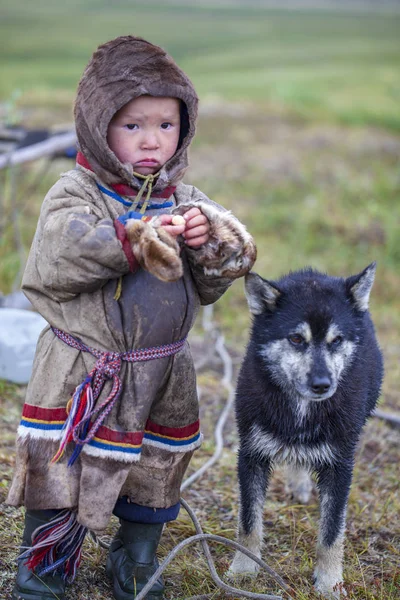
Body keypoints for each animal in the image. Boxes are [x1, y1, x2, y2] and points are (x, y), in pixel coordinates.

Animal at [230, 264, 382, 596]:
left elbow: (331, 533)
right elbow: (249, 522)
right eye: (297, 339)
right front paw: (244, 569)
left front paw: (329, 582)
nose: (322, 384)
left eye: (337, 340)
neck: (302, 409)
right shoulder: (251, 455)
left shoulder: (340, 465)